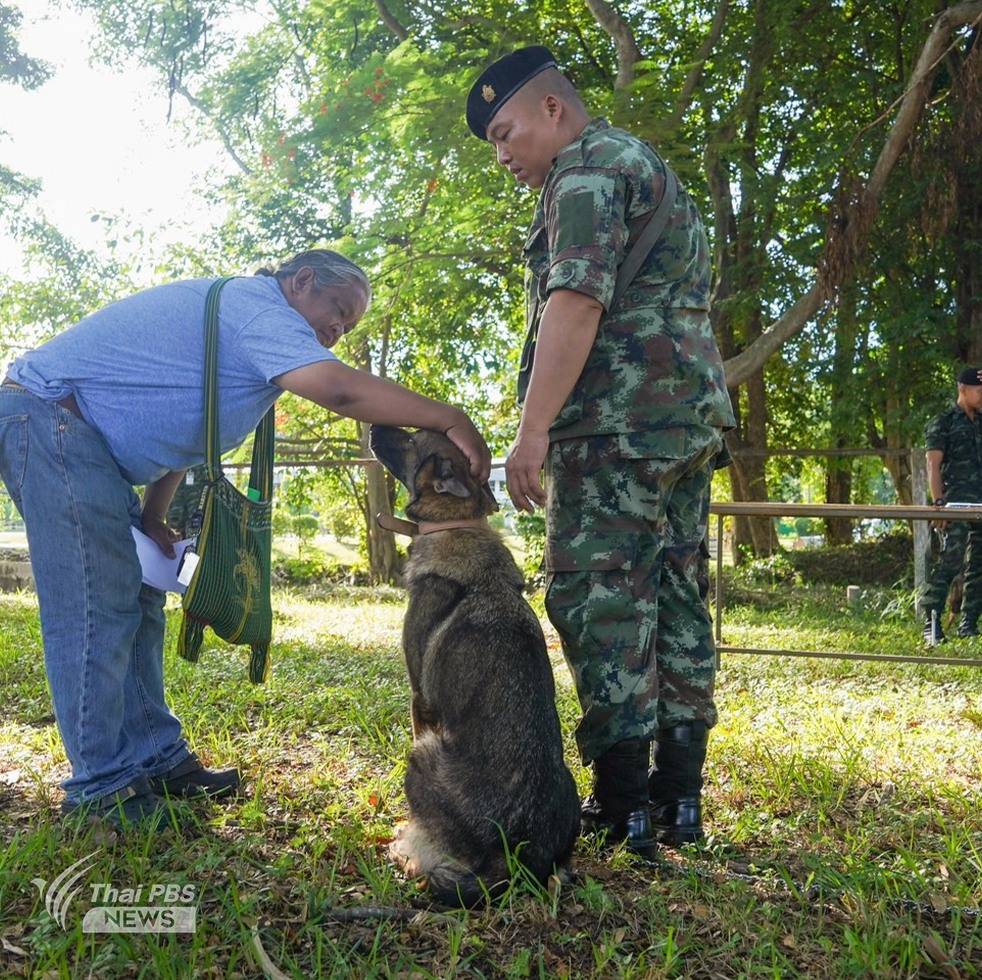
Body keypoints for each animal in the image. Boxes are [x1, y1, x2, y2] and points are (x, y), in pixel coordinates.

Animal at [370, 424, 584, 908]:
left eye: (413, 438)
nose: (372, 427)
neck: (455, 523)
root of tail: (517, 856)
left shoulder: (421, 702)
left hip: (422, 754)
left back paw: (406, 852)